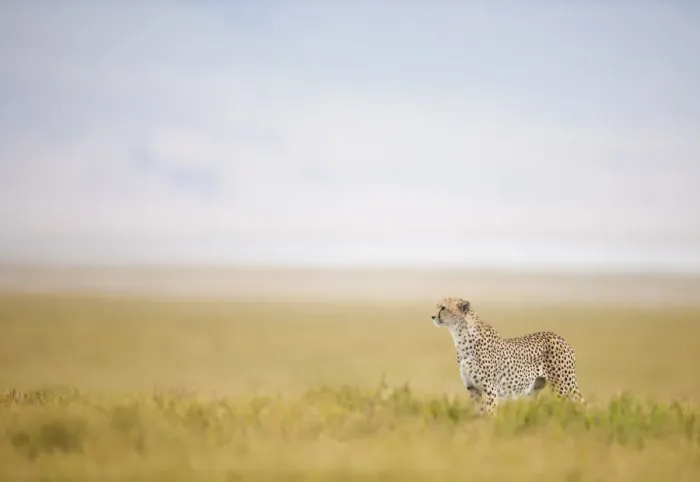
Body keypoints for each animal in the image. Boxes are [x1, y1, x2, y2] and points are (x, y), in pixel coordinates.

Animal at [432, 297, 585, 415]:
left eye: (443, 308)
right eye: (437, 306)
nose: (432, 316)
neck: (460, 336)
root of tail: (562, 338)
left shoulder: (490, 389)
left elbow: (490, 414)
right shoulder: (473, 388)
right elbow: (478, 413)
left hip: (564, 386)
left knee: (582, 404)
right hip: (535, 390)